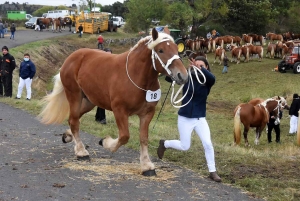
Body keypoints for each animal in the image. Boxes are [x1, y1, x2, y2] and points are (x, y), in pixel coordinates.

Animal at [37, 27, 188, 176]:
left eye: (177, 48)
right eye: (161, 50)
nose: (182, 75)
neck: (136, 76)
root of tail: (71, 58)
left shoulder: (147, 113)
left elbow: (143, 138)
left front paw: (146, 166)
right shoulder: (119, 110)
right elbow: (124, 136)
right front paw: (105, 142)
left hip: (90, 101)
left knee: (73, 119)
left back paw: (68, 136)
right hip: (74, 96)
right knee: (74, 120)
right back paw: (81, 152)